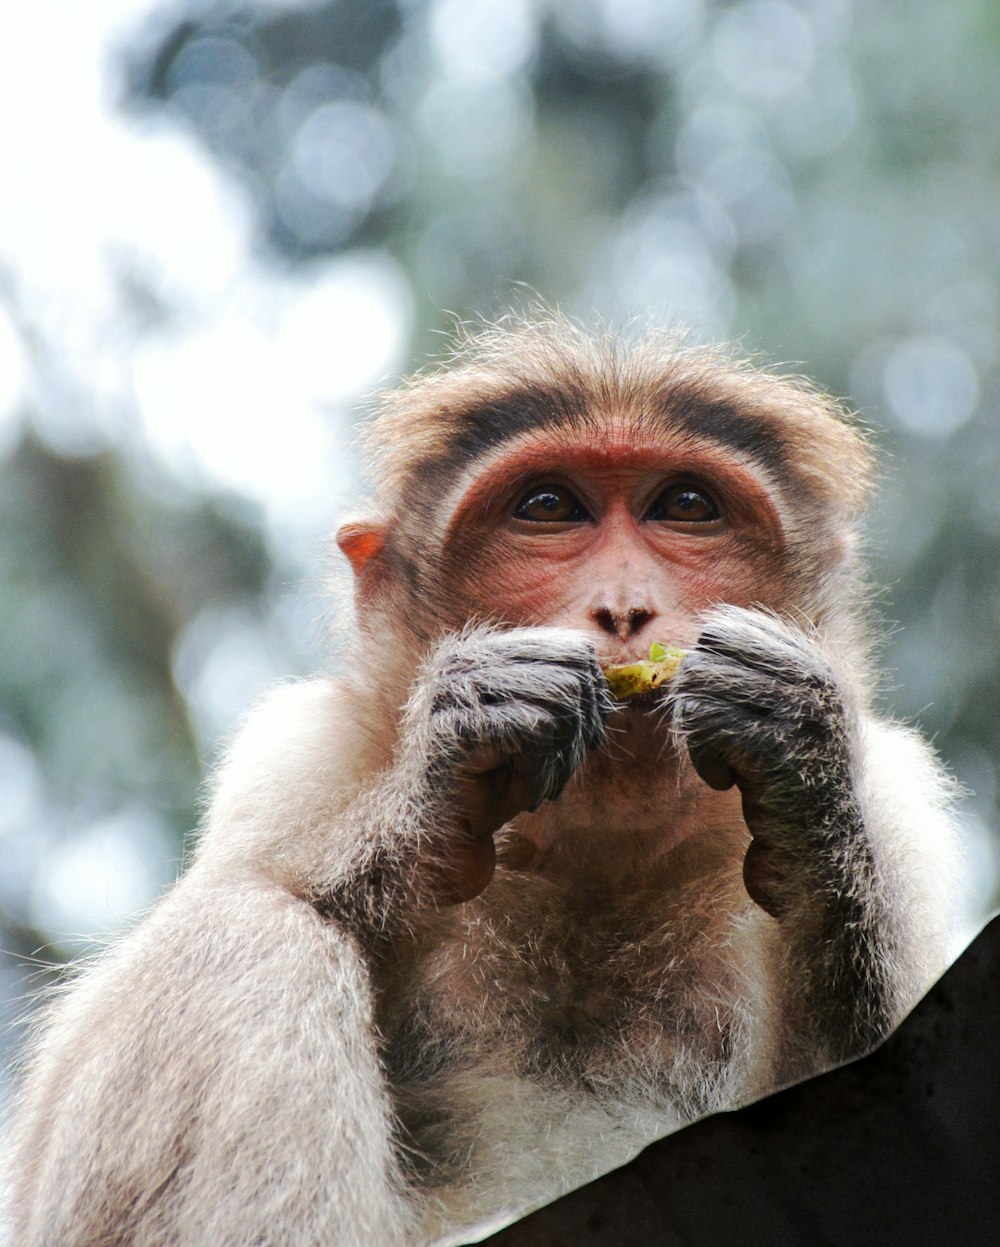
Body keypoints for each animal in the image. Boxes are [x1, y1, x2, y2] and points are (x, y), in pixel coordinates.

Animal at [3, 321, 962, 1247]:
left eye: (687, 506)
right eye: (549, 507)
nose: (624, 609)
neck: (596, 869)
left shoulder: (896, 803)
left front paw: (794, 744)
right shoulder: (298, 757)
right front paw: (463, 754)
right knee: (250, 934)